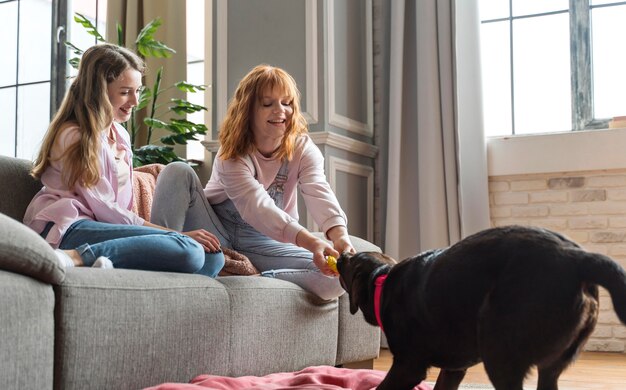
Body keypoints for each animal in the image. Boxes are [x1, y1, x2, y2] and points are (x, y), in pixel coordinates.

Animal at [336, 225, 624, 390]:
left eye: (351, 261)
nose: (341, 255)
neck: (382, 281)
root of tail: (576, 257)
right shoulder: (454, 369)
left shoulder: (408, 366)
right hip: (549, 367)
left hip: (501, 355)